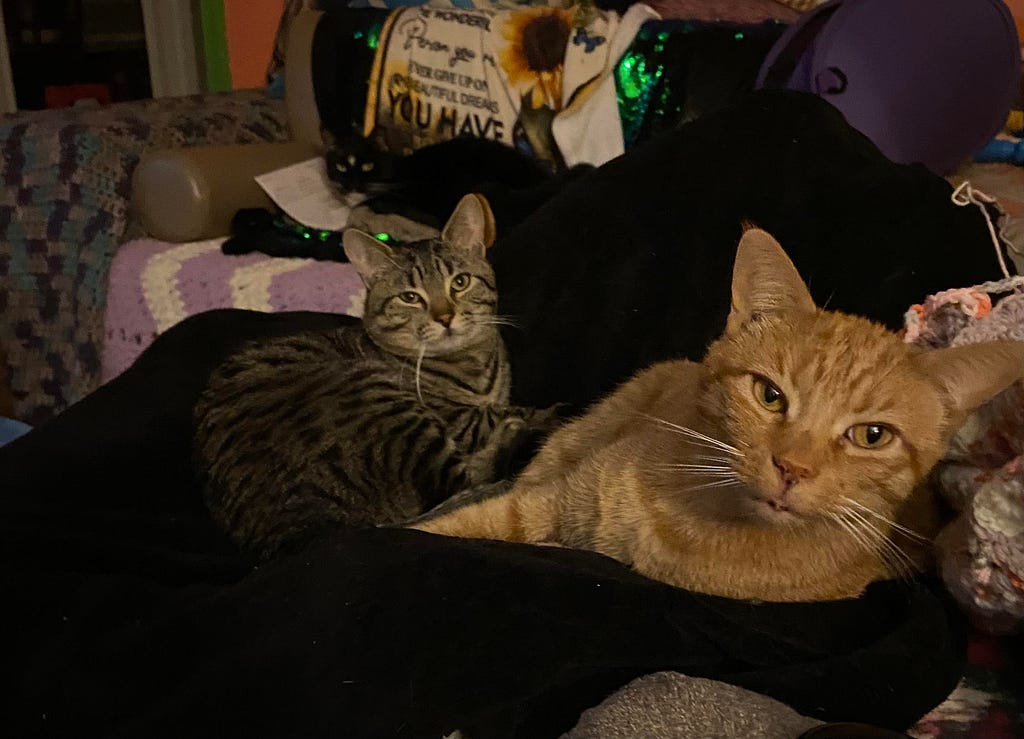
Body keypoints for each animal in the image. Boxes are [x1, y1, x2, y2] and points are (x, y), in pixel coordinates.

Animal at [193, 192, 552, 556]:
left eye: (460, 282)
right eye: (410, 297)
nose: (445, 317)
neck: (470, 359)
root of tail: (311, 531)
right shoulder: (461, 420)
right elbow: (514, 413)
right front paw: (540, 415)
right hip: (382, 402)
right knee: (469, 478)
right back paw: (512, 434)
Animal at [407, 229, 1024, 597]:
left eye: (872, 435)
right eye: (770, 395)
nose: (792, 469)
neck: (698, 524)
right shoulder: (544, 502)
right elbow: (454, 527)